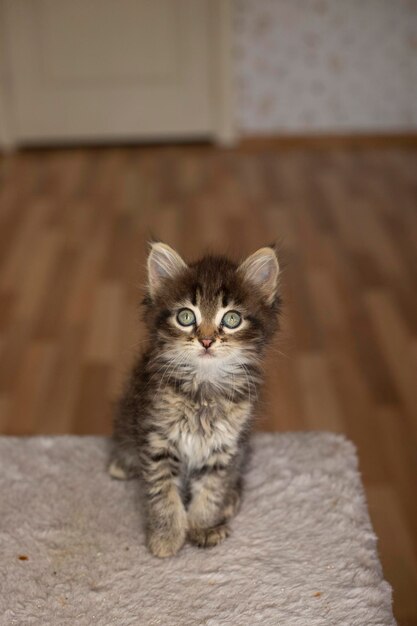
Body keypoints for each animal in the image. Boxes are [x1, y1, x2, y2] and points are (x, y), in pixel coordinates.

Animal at [109, 243, 280, 556]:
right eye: (186, 317)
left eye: (232, 319)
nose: (207, 340)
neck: (204, 387)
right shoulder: (157, 439)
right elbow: (163, 494)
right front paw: (167, 537)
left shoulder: (225, 445)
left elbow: (211, 490)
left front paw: (203, 527)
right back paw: (123, 463)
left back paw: (231, 498)